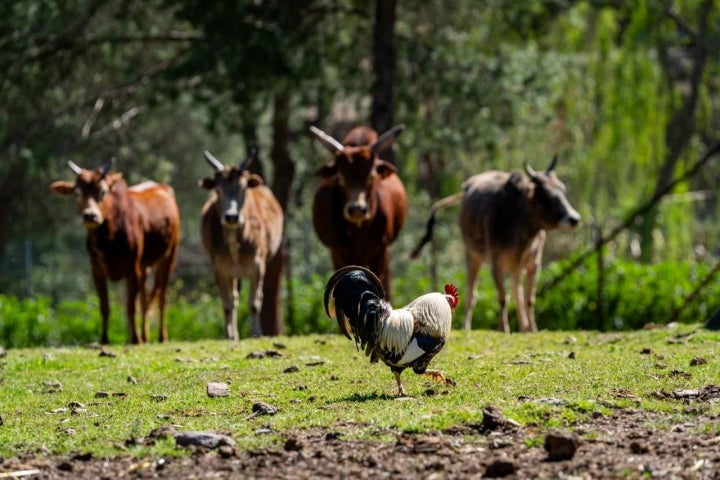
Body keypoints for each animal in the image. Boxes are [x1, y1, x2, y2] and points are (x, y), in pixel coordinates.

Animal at [50, 159, 180, 344]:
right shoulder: (97, 271)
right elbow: (105, 306)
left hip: (169, 255)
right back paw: (146, 336)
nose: (90, 216)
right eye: (76, 193)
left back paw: (161, 336)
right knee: (145, 299)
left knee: (162, 296)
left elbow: (130, 306)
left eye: (103, 192)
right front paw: (104, 338)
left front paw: (135, 339)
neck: (109, 241)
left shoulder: (133, 270)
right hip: (145, 267)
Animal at [199, 149, 283, 340]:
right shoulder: (219, 268)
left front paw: (257, 333)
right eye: (218, 189)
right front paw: (229, 334)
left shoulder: (257, 266)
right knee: (234, 299)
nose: (231, 216)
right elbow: (227, 303)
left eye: (243, 188)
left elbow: (255, 302)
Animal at [411, 156, 581, 333]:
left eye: (562, 188)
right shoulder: (497, 262)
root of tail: (466, 187)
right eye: (545, 195)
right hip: (472, 254)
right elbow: (504, 297)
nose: (574, 218)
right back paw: (467, 326)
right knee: (472, 293)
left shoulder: (533, 263)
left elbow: (528, 298)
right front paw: (505, 329)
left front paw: (531, 328)